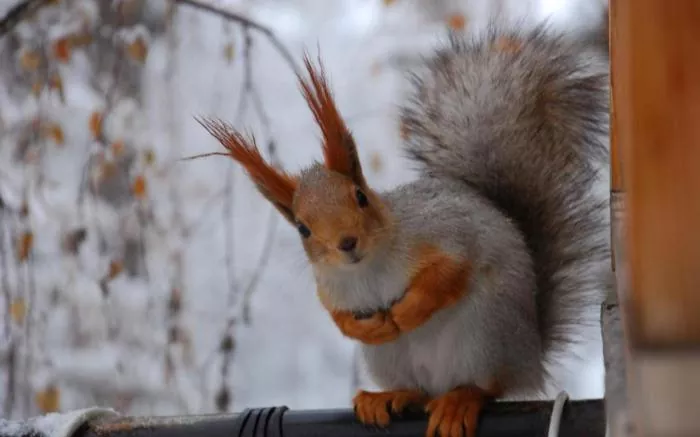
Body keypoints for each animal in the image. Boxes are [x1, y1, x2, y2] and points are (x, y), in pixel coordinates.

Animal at [197, 21, 610, 437]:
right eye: (302, 229)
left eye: (360, 196)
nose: (347, 243)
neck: (367, 268)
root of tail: (531, 358)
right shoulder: (331, 288)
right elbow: (338, 317)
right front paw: (369, 327)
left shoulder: (445, 234)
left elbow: (450, 272)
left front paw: (407, 312)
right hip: (392, 359)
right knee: (419, 390)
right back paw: (390, 396)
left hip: (487, 334)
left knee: (488, 385)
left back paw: (461, 400)